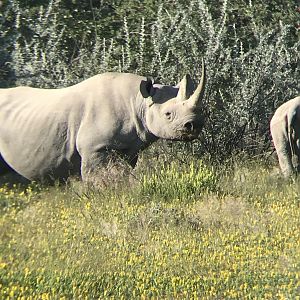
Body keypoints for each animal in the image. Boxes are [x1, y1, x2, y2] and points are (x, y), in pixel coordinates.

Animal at [0, 61, 206, 183]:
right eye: (168, 114)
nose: (194, 126)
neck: (138, 101)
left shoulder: (128, 147)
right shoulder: (94, 147)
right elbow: (96, 178)